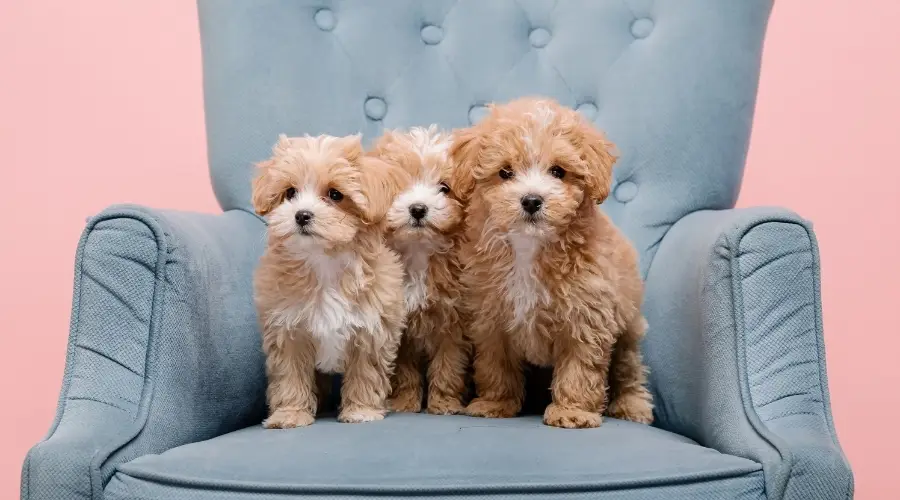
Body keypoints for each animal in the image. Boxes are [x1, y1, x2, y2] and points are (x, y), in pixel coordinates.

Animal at [253, 135, 408, 428]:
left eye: (335, 195)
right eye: (290, 193)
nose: (301, 215)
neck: (324, 261)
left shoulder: (371, 330)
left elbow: (365, 372)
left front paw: (361, 410)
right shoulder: (287, 331)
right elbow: (290, 375)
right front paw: (290, 414)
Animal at [368, 125, 472, 414]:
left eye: (444, 188)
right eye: (399, 186)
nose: (417, 209)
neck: (418, 253)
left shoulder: (453, 320)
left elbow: (448, 365)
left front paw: (444, 402)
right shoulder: (400, 329)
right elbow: (404, 370)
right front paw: (405, 401)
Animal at [450, 97, 652, 430]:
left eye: (558, 171)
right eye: (505, 172)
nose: (532, 200)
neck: (529, 247)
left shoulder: (587, 316)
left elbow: (579, 368)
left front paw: (572, 411)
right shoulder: (491, 318)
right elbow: (495, 364)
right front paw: (495, 403)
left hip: (628, 329)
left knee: (629, 371)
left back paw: (632, 406)